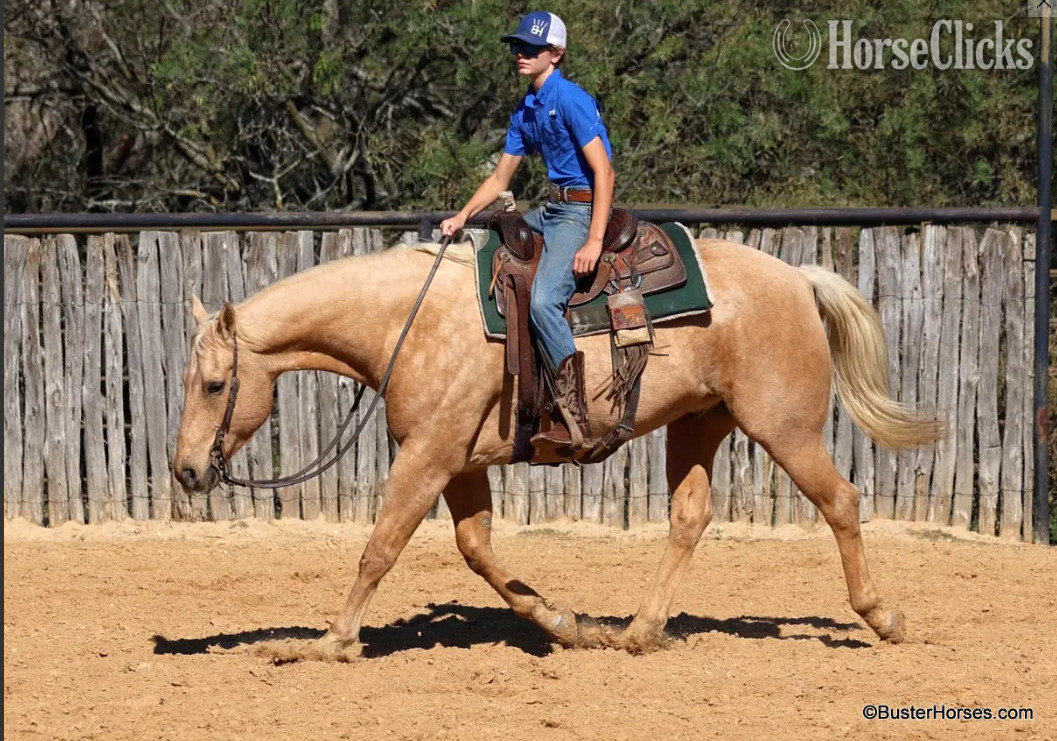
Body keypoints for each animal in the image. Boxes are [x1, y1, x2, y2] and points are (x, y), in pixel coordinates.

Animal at [173, 234, 944, 658]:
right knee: (689, 517)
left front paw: (330, 640)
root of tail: (797, 279)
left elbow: (380, 548)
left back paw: (884, 617)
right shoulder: (458, 463)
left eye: (214, 384)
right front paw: (564, 622)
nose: (184, 470)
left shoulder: (427, 457)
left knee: (840, 500)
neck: (407, 322)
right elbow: (477, 550)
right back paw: (635, 631)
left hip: (783, 426)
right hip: (699, 424)